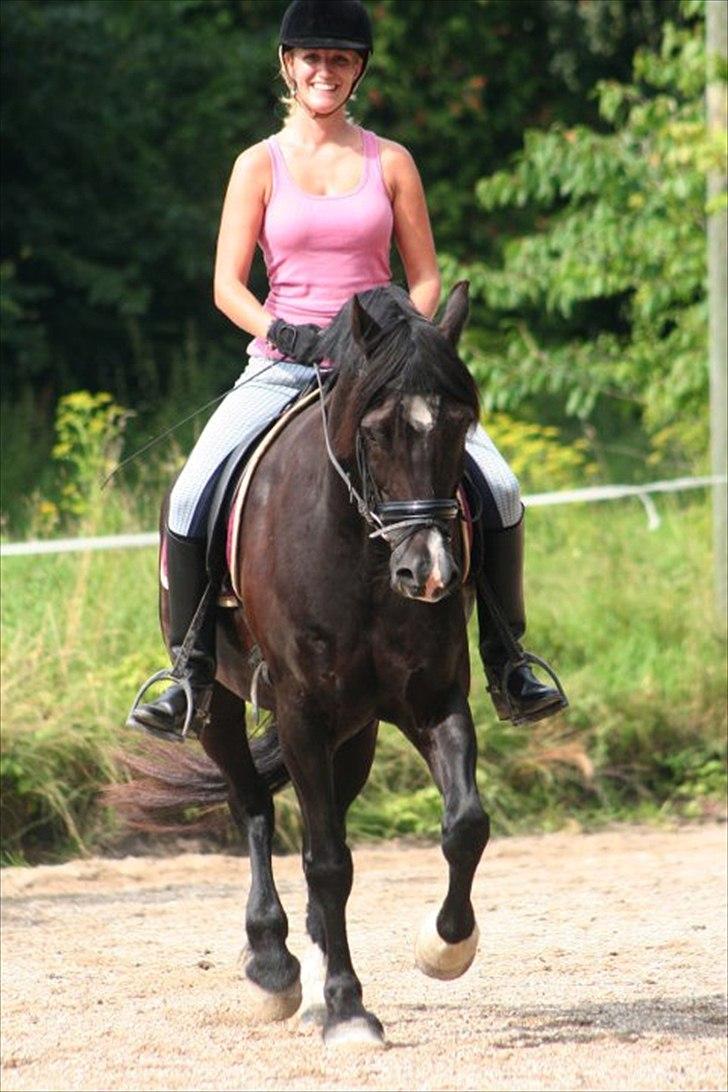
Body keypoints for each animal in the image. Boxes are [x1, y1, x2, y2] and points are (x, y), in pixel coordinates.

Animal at [118, 283, 488, 1048]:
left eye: (460, 425)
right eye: (377, 431)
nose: (429, 573)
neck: (363, 557)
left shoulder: (433, 701)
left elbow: (465, 824)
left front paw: (444, 946)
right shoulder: (300, 712)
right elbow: (326, 860)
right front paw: (348, 1008)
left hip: (358, 730)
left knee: (331, 815)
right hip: (222, 706)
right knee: (254, 807)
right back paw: (272, 963)